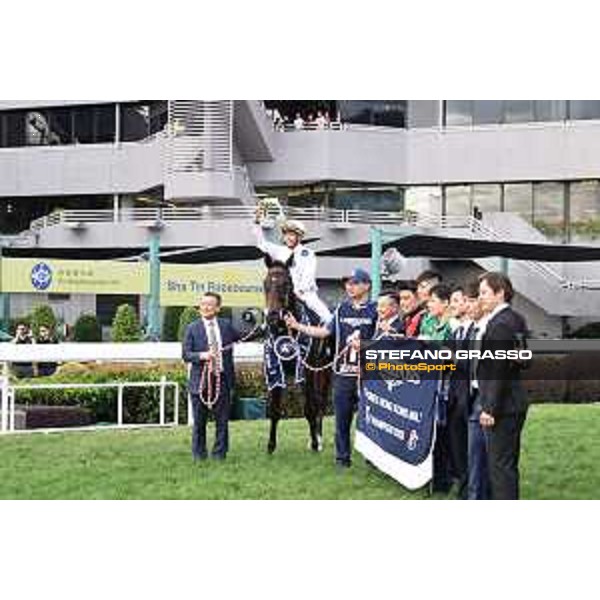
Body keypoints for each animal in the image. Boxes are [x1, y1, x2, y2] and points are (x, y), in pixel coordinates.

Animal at [262, 254, 332, 454]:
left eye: (286, 284)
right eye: (265, 283)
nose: (272, 316)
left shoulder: (305, 370)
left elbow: (309, 408)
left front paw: (315, 444)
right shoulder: (275, 368)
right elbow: (274, 409)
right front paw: (271, 446)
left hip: (325, 370)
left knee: (320, 402)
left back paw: (318, 438)